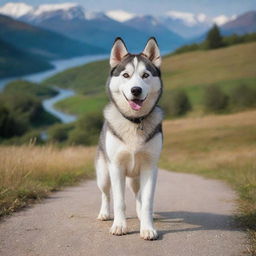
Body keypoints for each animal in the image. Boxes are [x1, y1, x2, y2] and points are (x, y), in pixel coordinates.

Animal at [96, 37, 164, 240]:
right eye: (125, 75)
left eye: (145, 75)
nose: (136, 90)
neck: (135, 121)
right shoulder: (116, 167)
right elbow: (119, 201)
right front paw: (119, 226)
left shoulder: (150, 167)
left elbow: (147, 201)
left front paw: (147, 228)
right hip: (103, 174)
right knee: (105, 194)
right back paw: (104, 213)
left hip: (136, 177)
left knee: (138, 195)